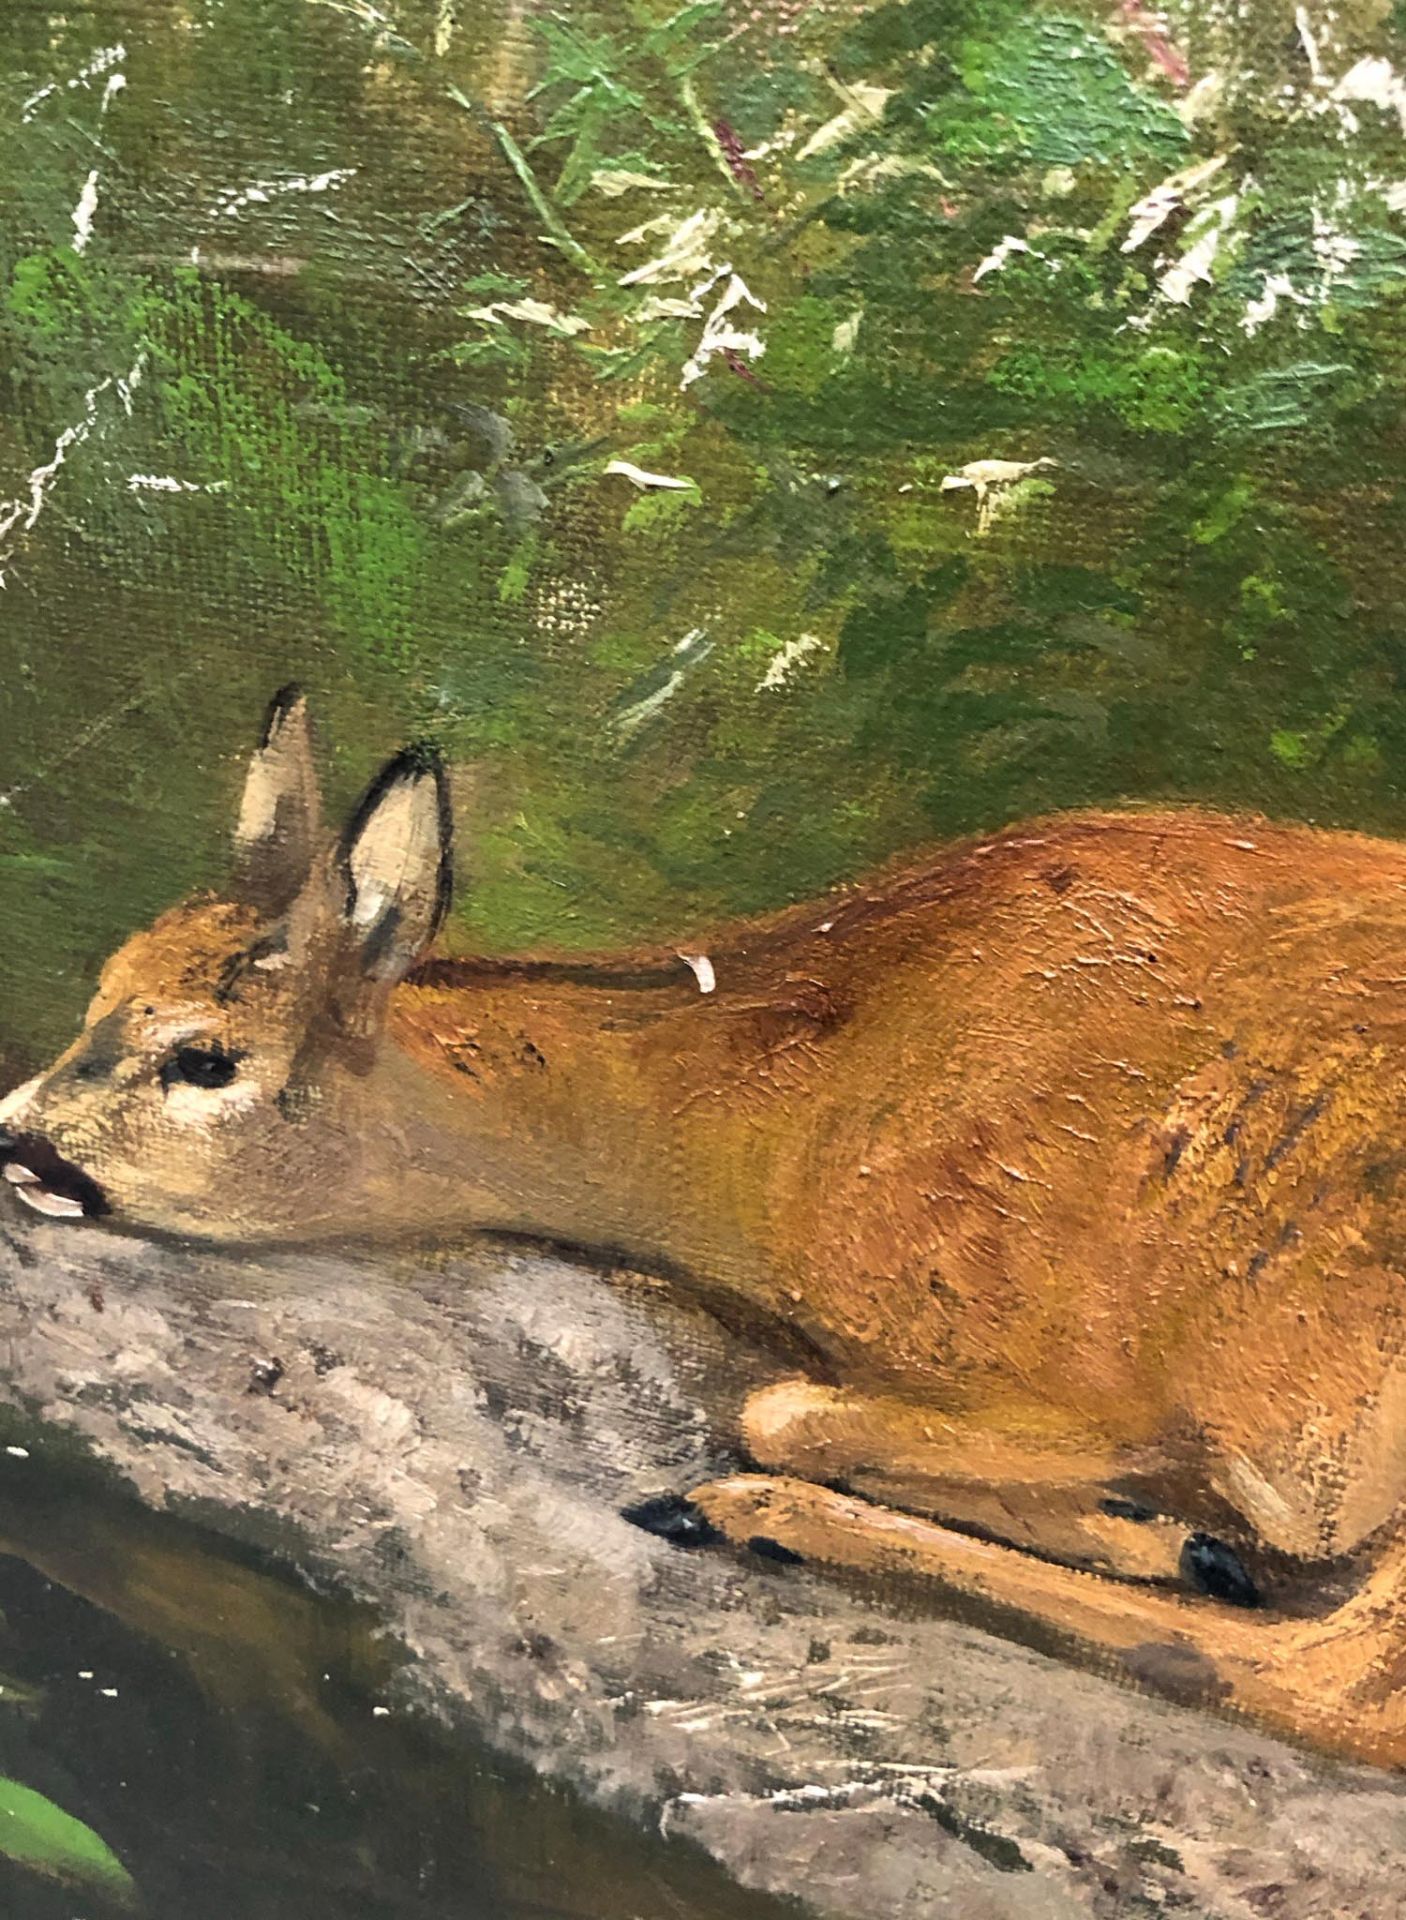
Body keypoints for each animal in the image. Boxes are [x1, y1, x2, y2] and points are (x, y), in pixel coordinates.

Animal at [5, 683, 1406, 1774]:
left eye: (203, 1058)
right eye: (99, 994)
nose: (17, 1139)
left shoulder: (1116, 1386)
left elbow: (776, 1402)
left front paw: (1155, 1524)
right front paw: (1161, 1532)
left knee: (1340, 1681)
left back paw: (746, 1513)